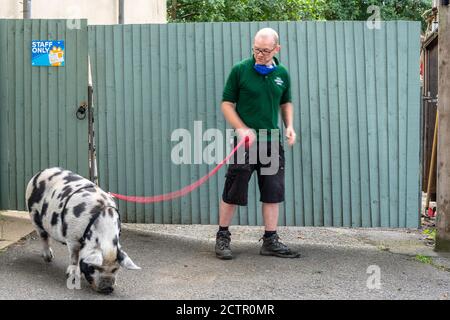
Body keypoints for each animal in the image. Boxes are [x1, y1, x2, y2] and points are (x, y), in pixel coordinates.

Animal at [25, 168, 140, 296]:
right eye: (93, 268)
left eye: (116, 269)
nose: (107, 289)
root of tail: (39, 174)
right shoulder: (72, 237)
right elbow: (74, 255)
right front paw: (72, 276)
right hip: (33, 213)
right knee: (43, 236)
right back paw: (48, 258)